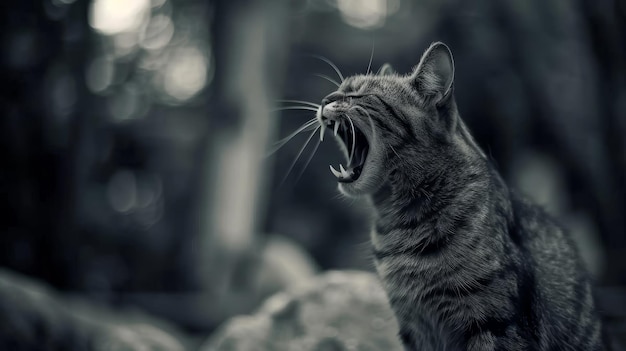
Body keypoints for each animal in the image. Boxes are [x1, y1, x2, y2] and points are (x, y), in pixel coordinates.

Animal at [314, 43, 604, 351]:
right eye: (340, 89)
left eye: (359, 94)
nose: (325, 99)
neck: (397, 220)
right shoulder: (415, 326)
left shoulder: (494, 323)